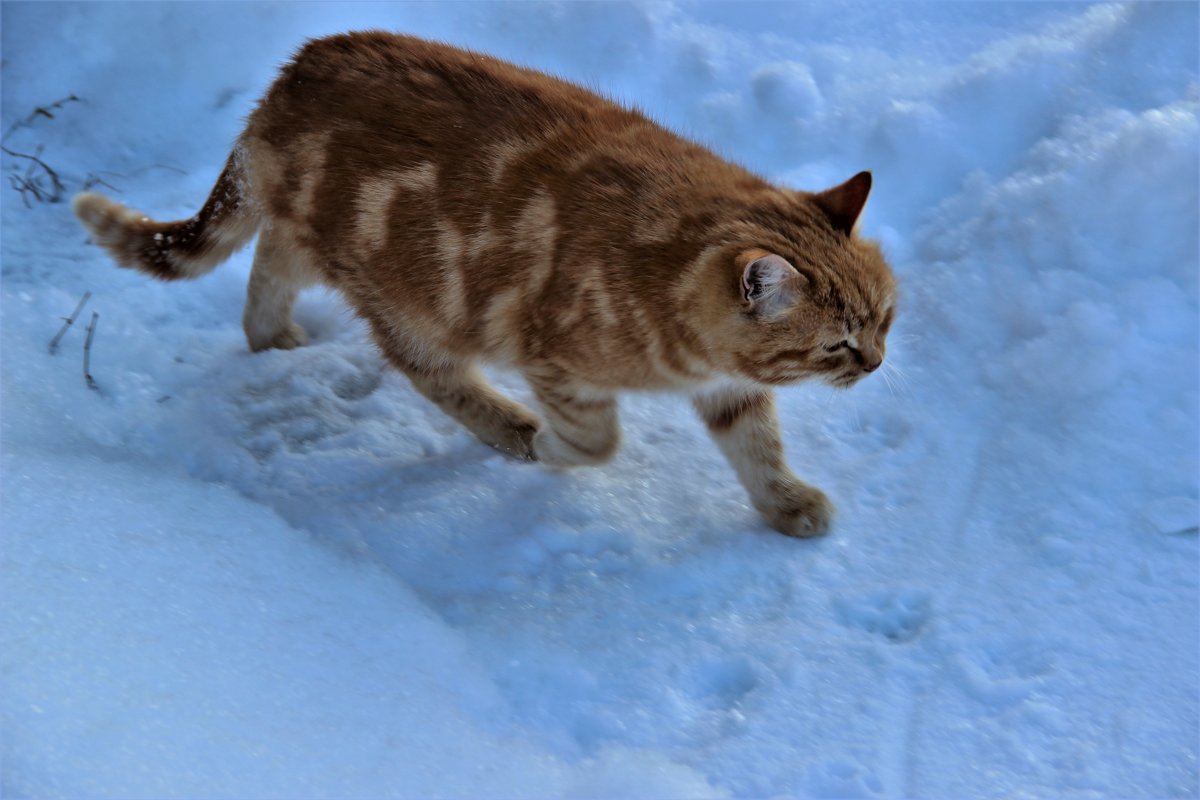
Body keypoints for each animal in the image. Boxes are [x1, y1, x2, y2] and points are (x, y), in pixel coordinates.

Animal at [72, 34, 892, 542]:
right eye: (837, 344)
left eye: (886, 318)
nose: (878, 364)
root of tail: (289, 76)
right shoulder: (554, 360)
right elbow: (595, 441)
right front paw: (548, 447)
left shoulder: (729, 388)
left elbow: (760, 448)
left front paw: (785, 504)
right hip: (412, 302)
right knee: (430, 372)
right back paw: (509, 426)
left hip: (319, 245)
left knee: (269, 261)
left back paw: (271, 338)